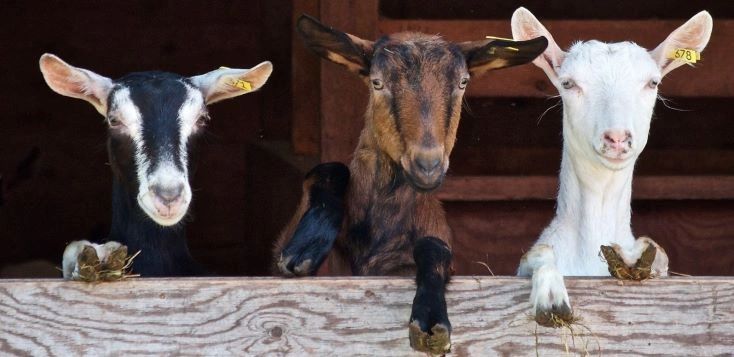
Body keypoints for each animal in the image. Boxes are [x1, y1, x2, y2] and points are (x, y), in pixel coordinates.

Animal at [276, 13, 548, 354]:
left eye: (463, 82)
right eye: (377, 82)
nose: (427, 165)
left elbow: (434, 248)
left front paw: (431, 319)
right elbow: (328, 170)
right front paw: (305, 247)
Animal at [512, 7, 712, 320]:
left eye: (653, 83)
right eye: (568, 83)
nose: (617, 138)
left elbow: (658, 253)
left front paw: (634, 257)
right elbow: (538, 252)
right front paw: (551, 297)